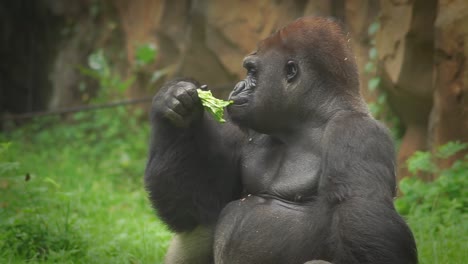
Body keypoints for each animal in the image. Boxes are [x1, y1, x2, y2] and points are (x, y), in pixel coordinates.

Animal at [144, 17, 418, 264]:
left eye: (252, 71)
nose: (237, 86)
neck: (306, 120)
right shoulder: (245, 125)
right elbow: (205, 198)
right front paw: (178, 108)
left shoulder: (356, 133)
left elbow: (361, 209)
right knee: (200, 225)